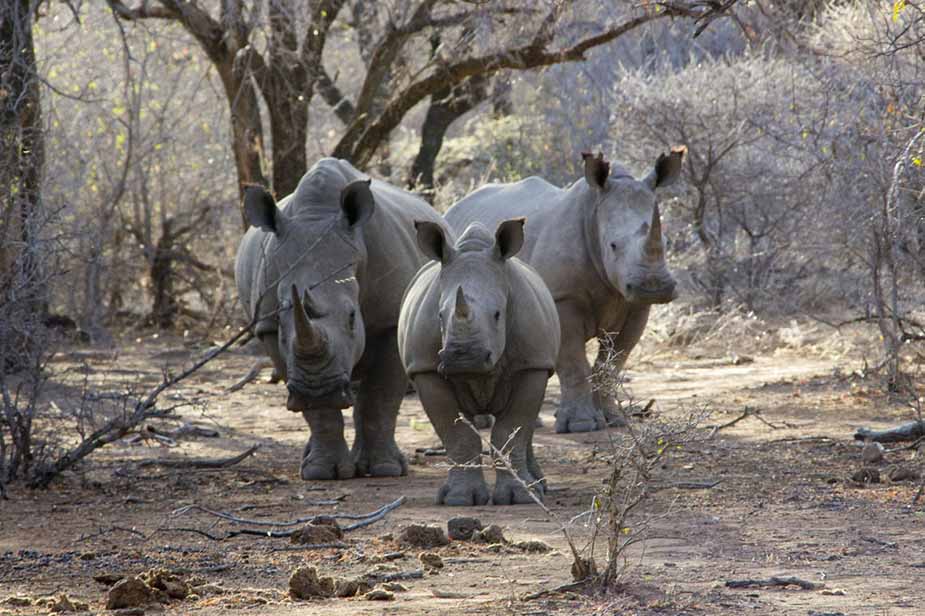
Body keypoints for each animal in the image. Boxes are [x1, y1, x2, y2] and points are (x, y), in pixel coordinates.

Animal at [233, 158, 446, 482]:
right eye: (281, 316)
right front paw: (322, 471)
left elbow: (380, 396)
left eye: (351, 317)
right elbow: (318, 414)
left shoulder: (392, 320)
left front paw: (384, 470)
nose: (317, 389)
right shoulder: (267, 328)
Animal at [396, 218, 556, 506]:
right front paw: (460, 499)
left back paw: (539, 486)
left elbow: (511, 430)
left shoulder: (533, 363)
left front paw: (518, 498)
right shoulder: (425, 368)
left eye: (498, 314)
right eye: (439, 315)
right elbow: (458, 435)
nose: (464, 358)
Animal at [444, 148, 684, 434]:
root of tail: (454, 206)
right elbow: (573, 363)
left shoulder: (635, 305)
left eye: (667, 242)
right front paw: (580, 425)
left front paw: (612, 420)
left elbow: (613, 362)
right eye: (613, 245)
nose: (654, 287)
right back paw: (482, 423)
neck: (594, 214)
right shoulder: (561, 297)